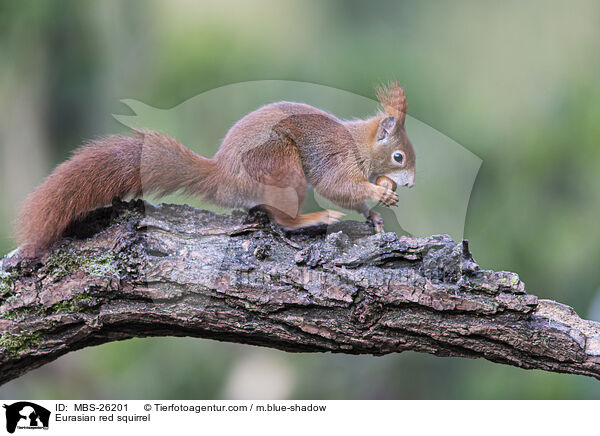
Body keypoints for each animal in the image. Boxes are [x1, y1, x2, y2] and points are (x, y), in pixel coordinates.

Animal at [17, 81, 412, 255]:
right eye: (399, 157)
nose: (407, 185)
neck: (360, 143)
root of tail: (222, 177)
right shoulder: (335, 157)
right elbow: (336, 186)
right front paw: (378, 192)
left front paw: (375, 211)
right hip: (279, 164)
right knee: (281, 218)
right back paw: (312, 219)